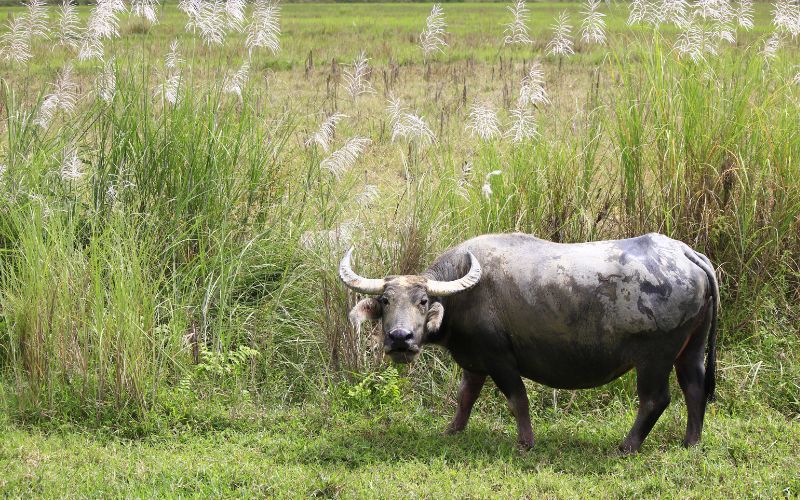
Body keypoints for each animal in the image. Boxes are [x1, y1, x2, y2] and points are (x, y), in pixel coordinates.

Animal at [338, 232, 720, 456]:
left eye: (422, 302)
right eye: (385, 300)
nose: (399, 339)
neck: (465, 295)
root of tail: (687, 253)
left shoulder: (500, 360)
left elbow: (516, 400)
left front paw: (525, 442)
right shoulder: (474, 363)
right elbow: (465, 398)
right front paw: (452, 430)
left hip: (654, 357)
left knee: (656, 399)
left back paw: (626, 446)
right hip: (691, 348)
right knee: (694, 387)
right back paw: (691, 442)